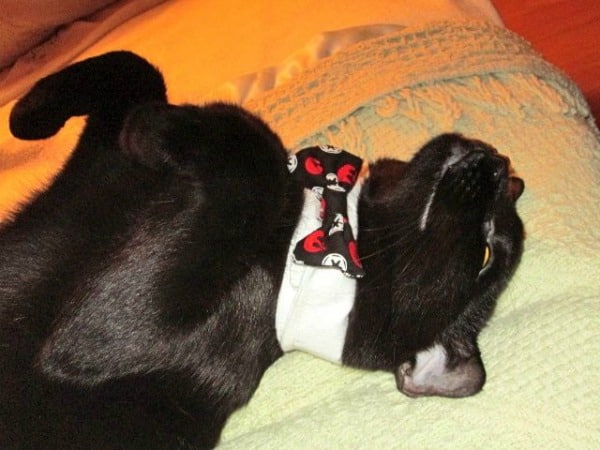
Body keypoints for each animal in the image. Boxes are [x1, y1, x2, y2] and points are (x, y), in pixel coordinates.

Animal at [0, 51, 524, 448]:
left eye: (484, 257)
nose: (501, 165)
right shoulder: (95, 171)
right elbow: (137, 66)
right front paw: (28, 117)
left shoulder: (101, 341)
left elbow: (260, 160)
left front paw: (156, 125)